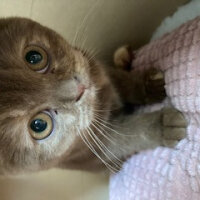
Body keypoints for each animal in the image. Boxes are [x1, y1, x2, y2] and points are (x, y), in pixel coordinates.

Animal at [0, 16, 186, 173]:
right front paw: (163, 125)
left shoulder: (97, 68)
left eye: (34, 57)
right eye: (39, 125)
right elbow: (130, 134)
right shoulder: (98, 146)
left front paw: (150, 87)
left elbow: (125, 82)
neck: (100, 99)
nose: (78, 89)